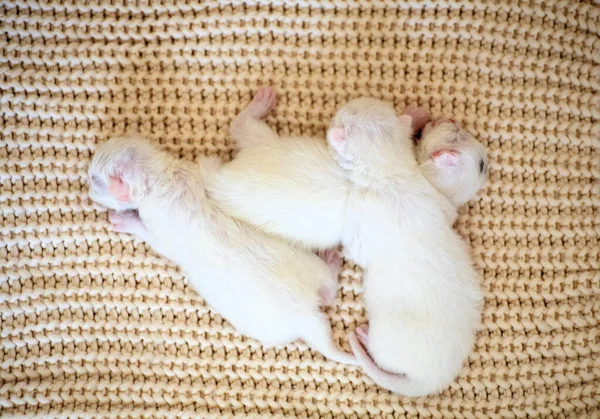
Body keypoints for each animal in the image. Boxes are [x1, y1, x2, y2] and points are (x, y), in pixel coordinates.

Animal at [86, 138, 354, 364]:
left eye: (94, 180)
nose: (86, 188)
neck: (163, 176)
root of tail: (306, 316)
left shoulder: (158, 228)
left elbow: (149, 236)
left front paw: (125, 221)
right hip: (311, 268)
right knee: (328, 291)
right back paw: (331, 263)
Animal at [328, 98, 482, 398]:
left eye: (344, 113)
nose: (345, 104)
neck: (389, 175)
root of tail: (430, 382)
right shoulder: (435, 197)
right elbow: (448, 214)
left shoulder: (358, 215)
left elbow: (355, 250)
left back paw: (363, 337)